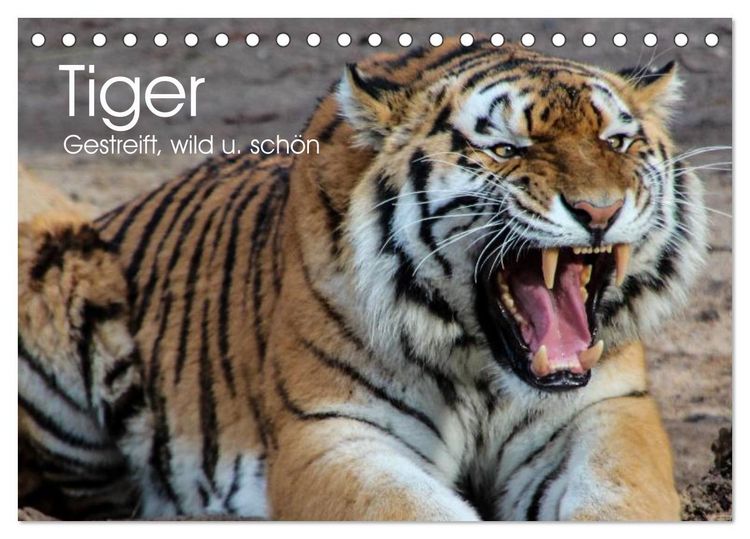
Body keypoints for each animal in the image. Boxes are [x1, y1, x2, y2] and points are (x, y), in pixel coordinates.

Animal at [18, 36, 707, 521]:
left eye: (616, 142)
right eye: (505, 150)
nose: (599, 211)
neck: (482, 366)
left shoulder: (606, 409)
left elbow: (621, 495)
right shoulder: (334, 431)